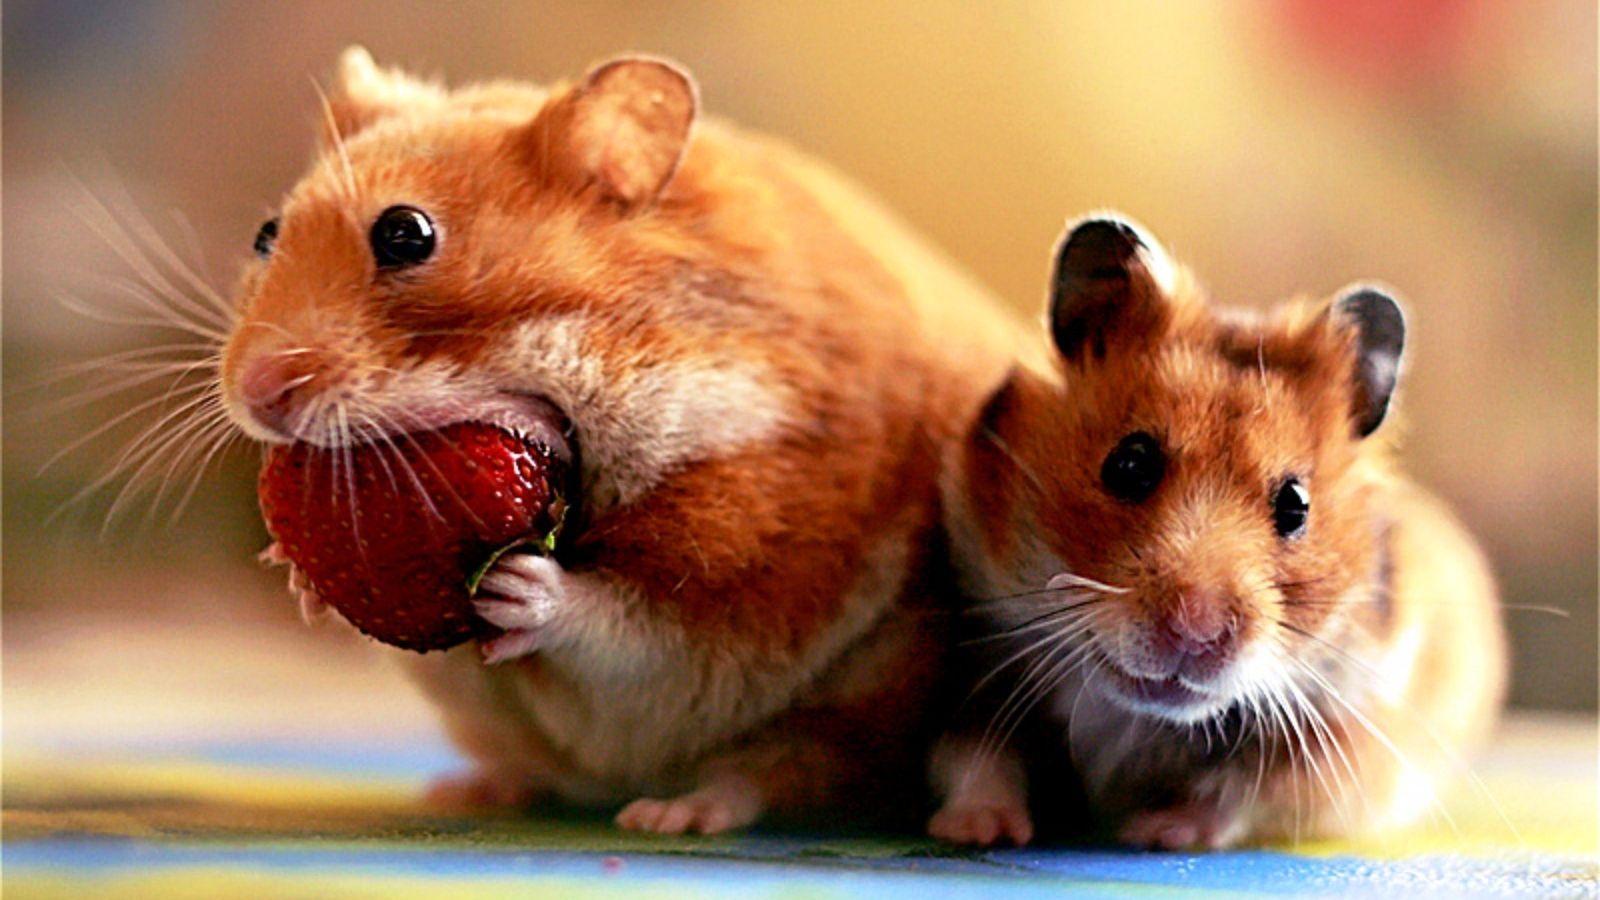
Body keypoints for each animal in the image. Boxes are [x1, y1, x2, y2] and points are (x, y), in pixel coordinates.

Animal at [219, 48, 1027, 833]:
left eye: (406, 233)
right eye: (266, 234)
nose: (257, 395)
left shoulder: (748, 566)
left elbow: (628, 630)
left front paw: (519, 588)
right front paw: (295, 576)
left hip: (875, 705)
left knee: (792, 775)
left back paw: (683, 816)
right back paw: (469, 791)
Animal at [928, 214, 1506, 849]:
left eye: (1296, 506)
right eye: (1129, 464)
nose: (1195, 632)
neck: (1134, 718)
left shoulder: (1342, 740)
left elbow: (1238, 797)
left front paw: (1152, 832)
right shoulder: (975, 669)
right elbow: (977, 758)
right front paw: (978, 832)